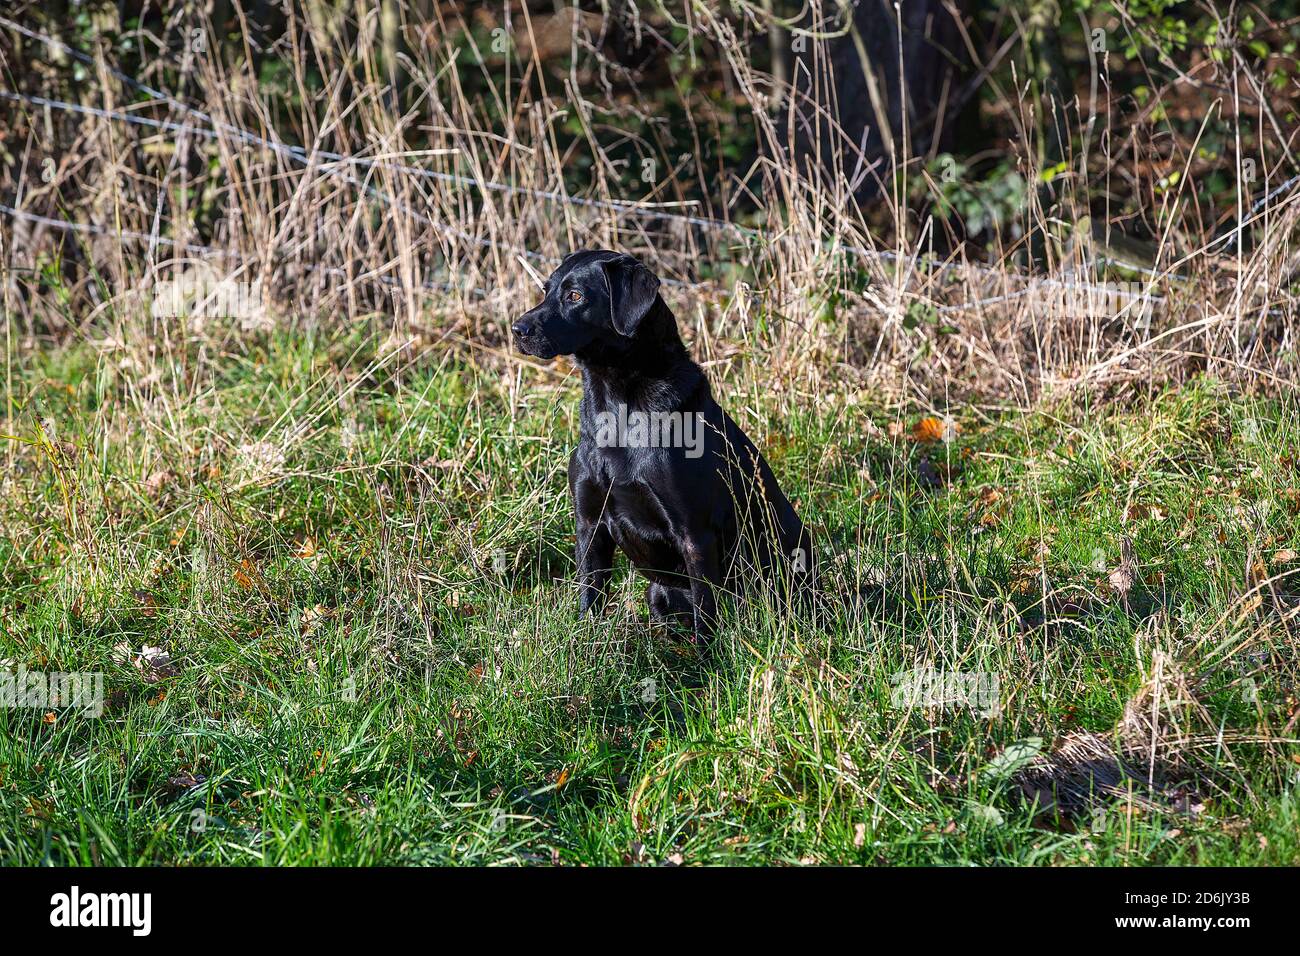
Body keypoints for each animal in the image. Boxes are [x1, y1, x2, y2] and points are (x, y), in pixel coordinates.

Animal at [509, 252, 806, 642]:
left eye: (575, 296)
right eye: (546, 290)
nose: (517, 329)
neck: (616, 409)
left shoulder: (694, 533)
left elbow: (706, 614)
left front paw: (708, 657)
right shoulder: (589, 522)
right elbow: (590, 595)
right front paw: (587, 643)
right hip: (657, 592)